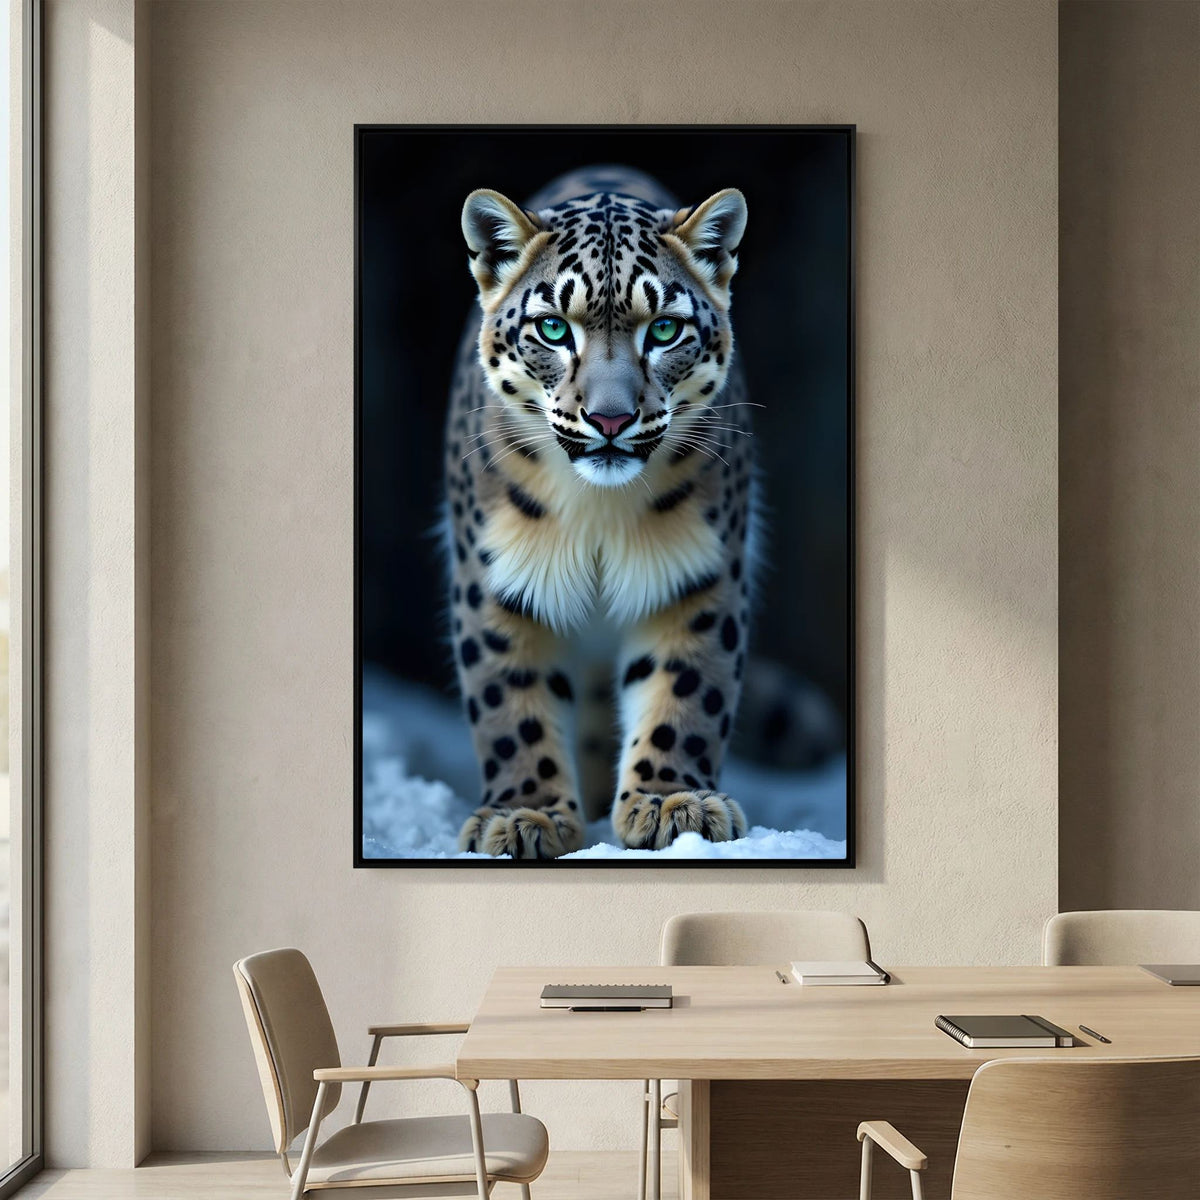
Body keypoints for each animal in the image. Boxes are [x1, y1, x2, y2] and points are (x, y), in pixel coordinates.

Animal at [442, 165, 759, 859]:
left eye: (663, 329)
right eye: (553, 328)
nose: (610, 419)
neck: (598, 512)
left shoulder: (698, 574)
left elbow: (685, 689)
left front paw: (673, 803)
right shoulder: (496, 580)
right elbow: (511, 701)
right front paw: (525, 815)